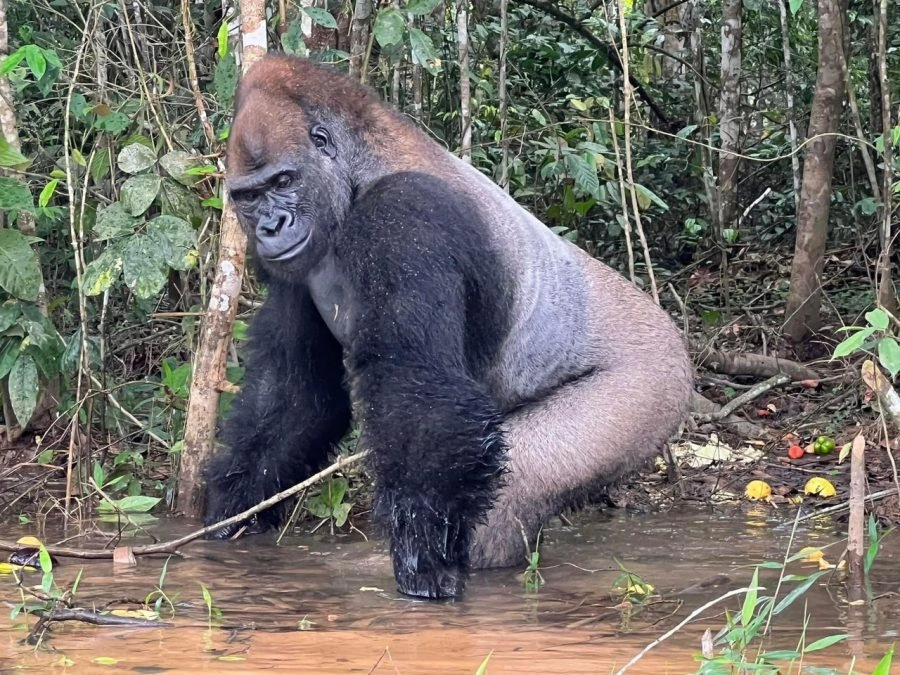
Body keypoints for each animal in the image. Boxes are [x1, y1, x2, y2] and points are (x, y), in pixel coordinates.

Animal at [201, 54, 694, 600]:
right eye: (250, 196)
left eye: (285, 181)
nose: (271, 227)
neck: (357, 172)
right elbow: (295, 397)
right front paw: (233, 509)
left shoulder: (405, 218)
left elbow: (424, 399)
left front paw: (422, 561)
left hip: (653, 383)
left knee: (515, 488)